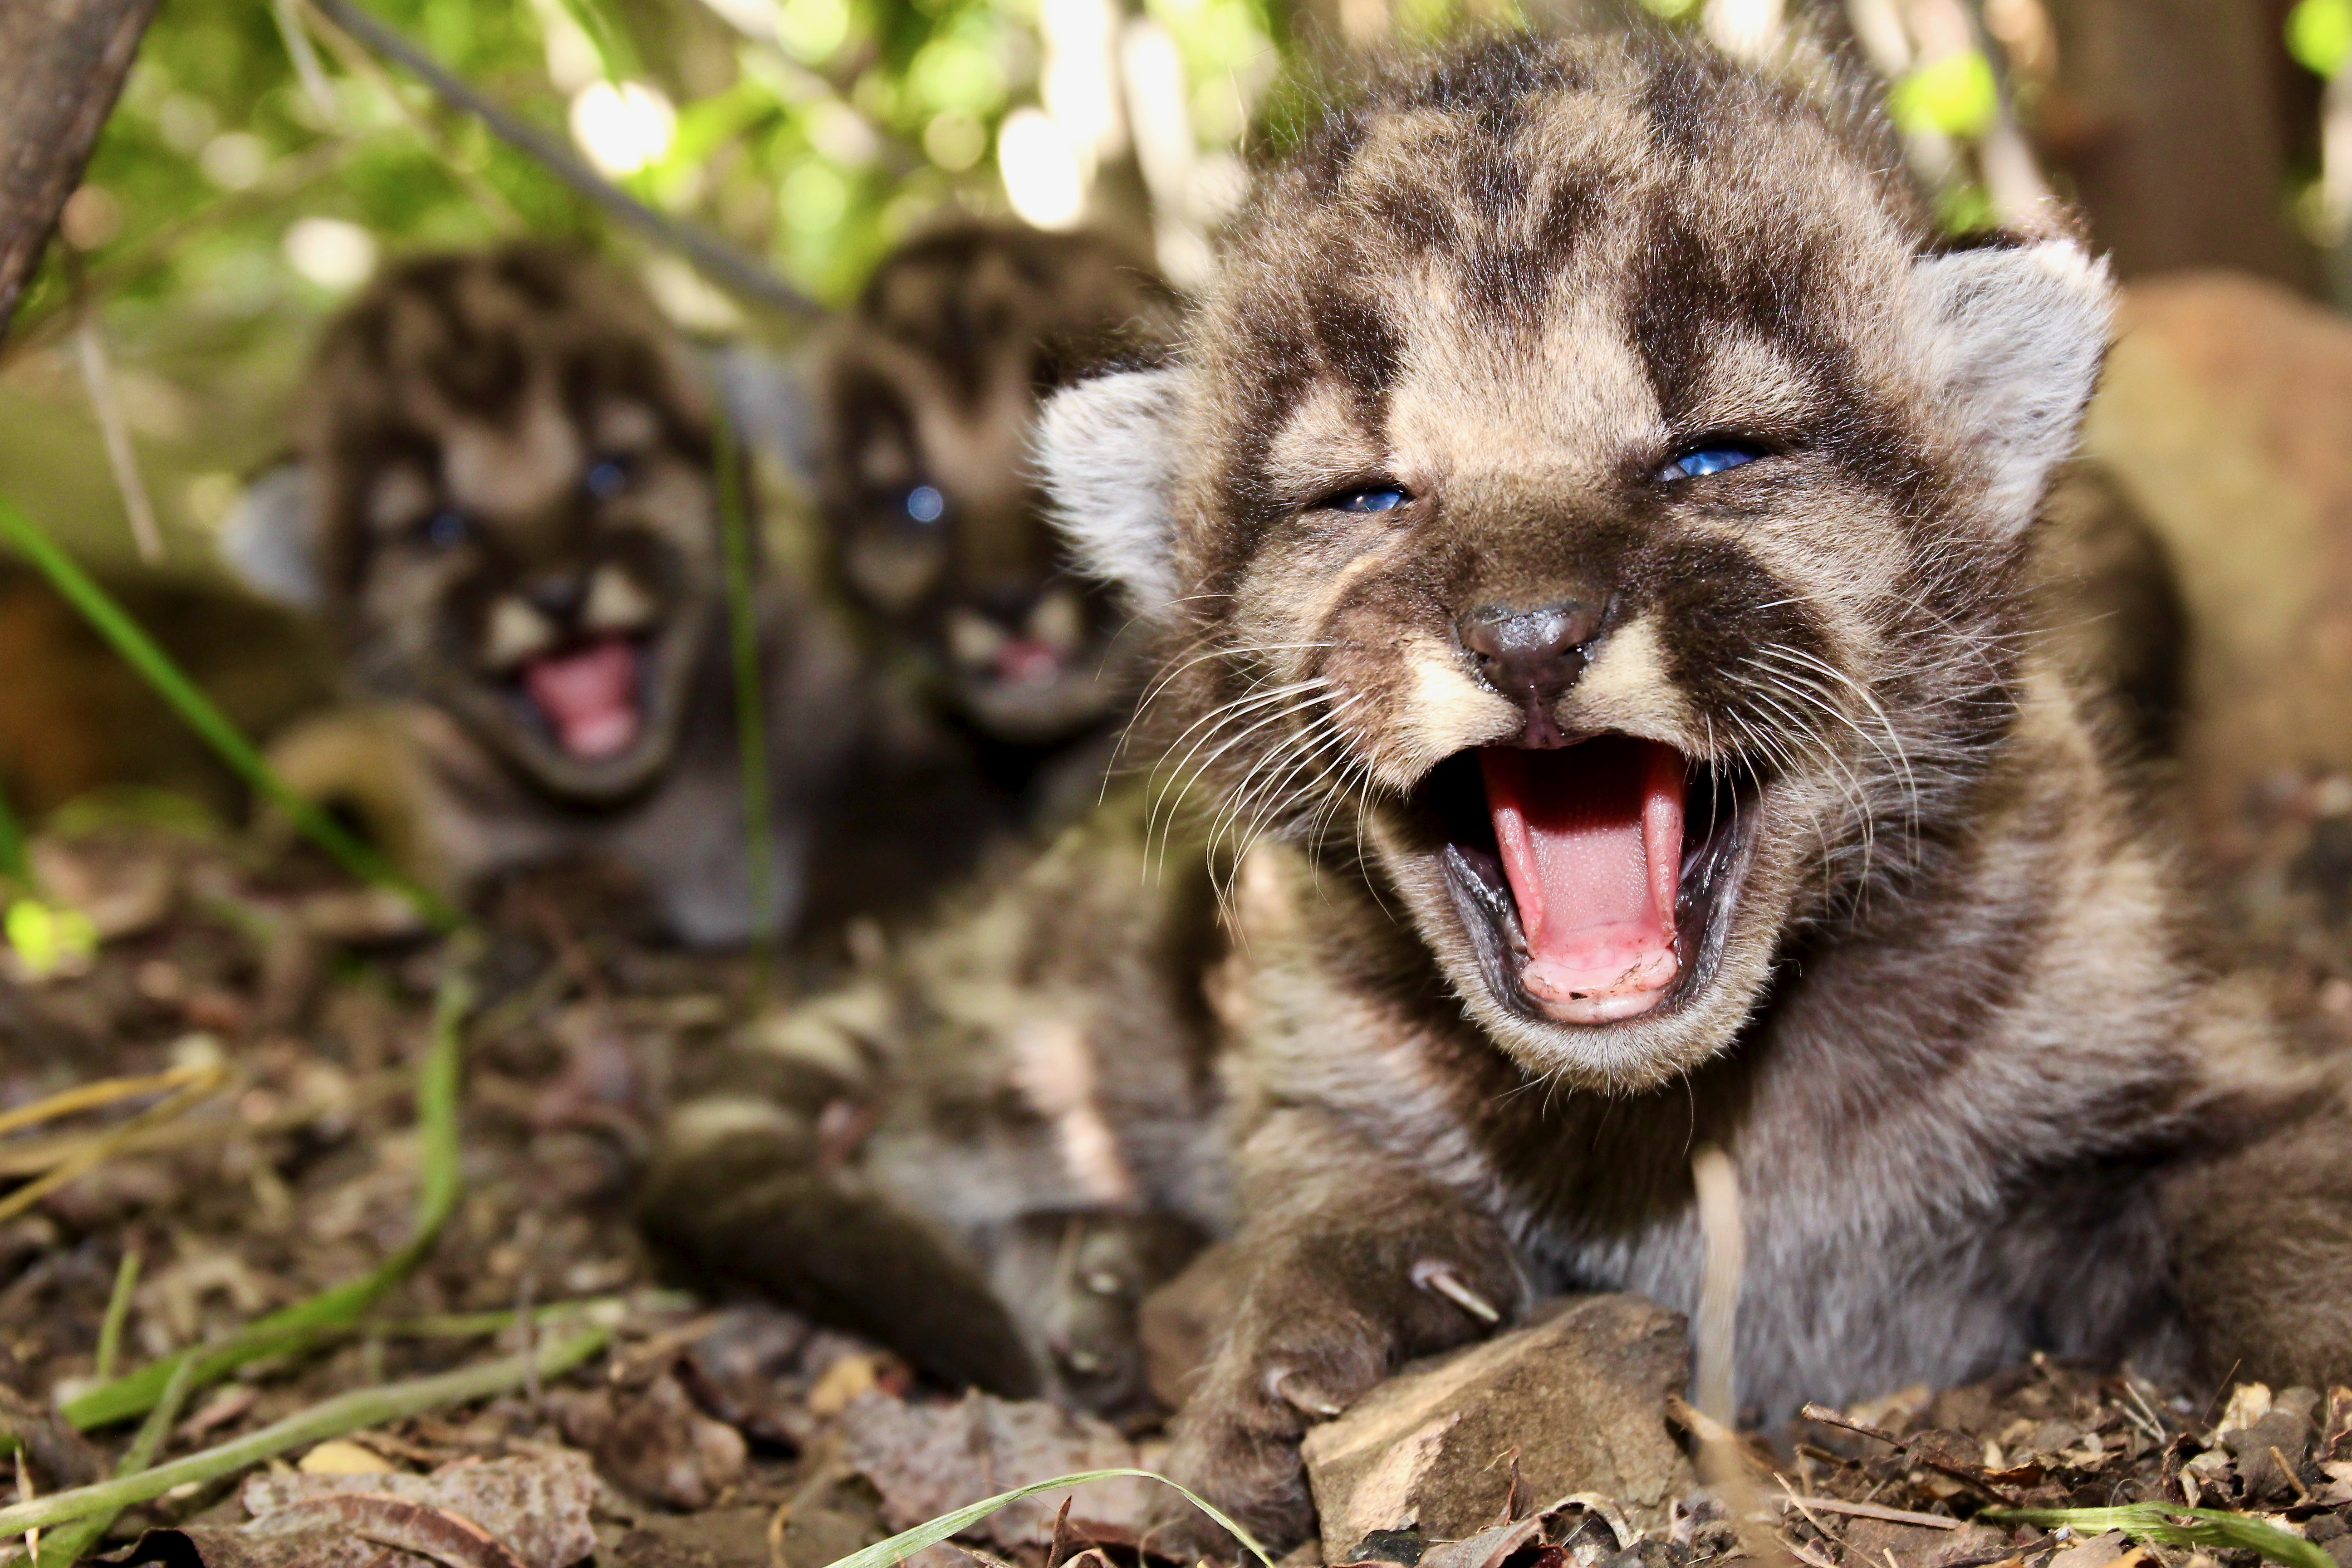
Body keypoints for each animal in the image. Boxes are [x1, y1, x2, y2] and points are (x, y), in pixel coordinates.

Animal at [1039, 30, 2352, 1551]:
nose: (1528, 634)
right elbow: (1328, 1216)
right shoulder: (1322, 1099)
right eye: (1366, 497)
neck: (1691, 1123)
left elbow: (2290, 1227)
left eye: (1714, 457)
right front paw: (1283, 1388)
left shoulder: (2209, 1072)